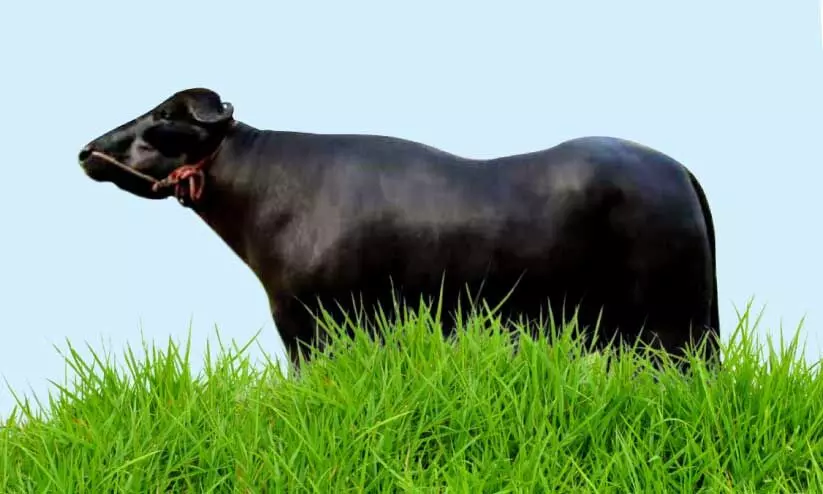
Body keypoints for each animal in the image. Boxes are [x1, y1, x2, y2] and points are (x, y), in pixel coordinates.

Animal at [78, 87, 720, 370]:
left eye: (164, 115)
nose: (88, 150)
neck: (272, 194)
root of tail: (680, 171)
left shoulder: (313, 327)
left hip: (672, 328)